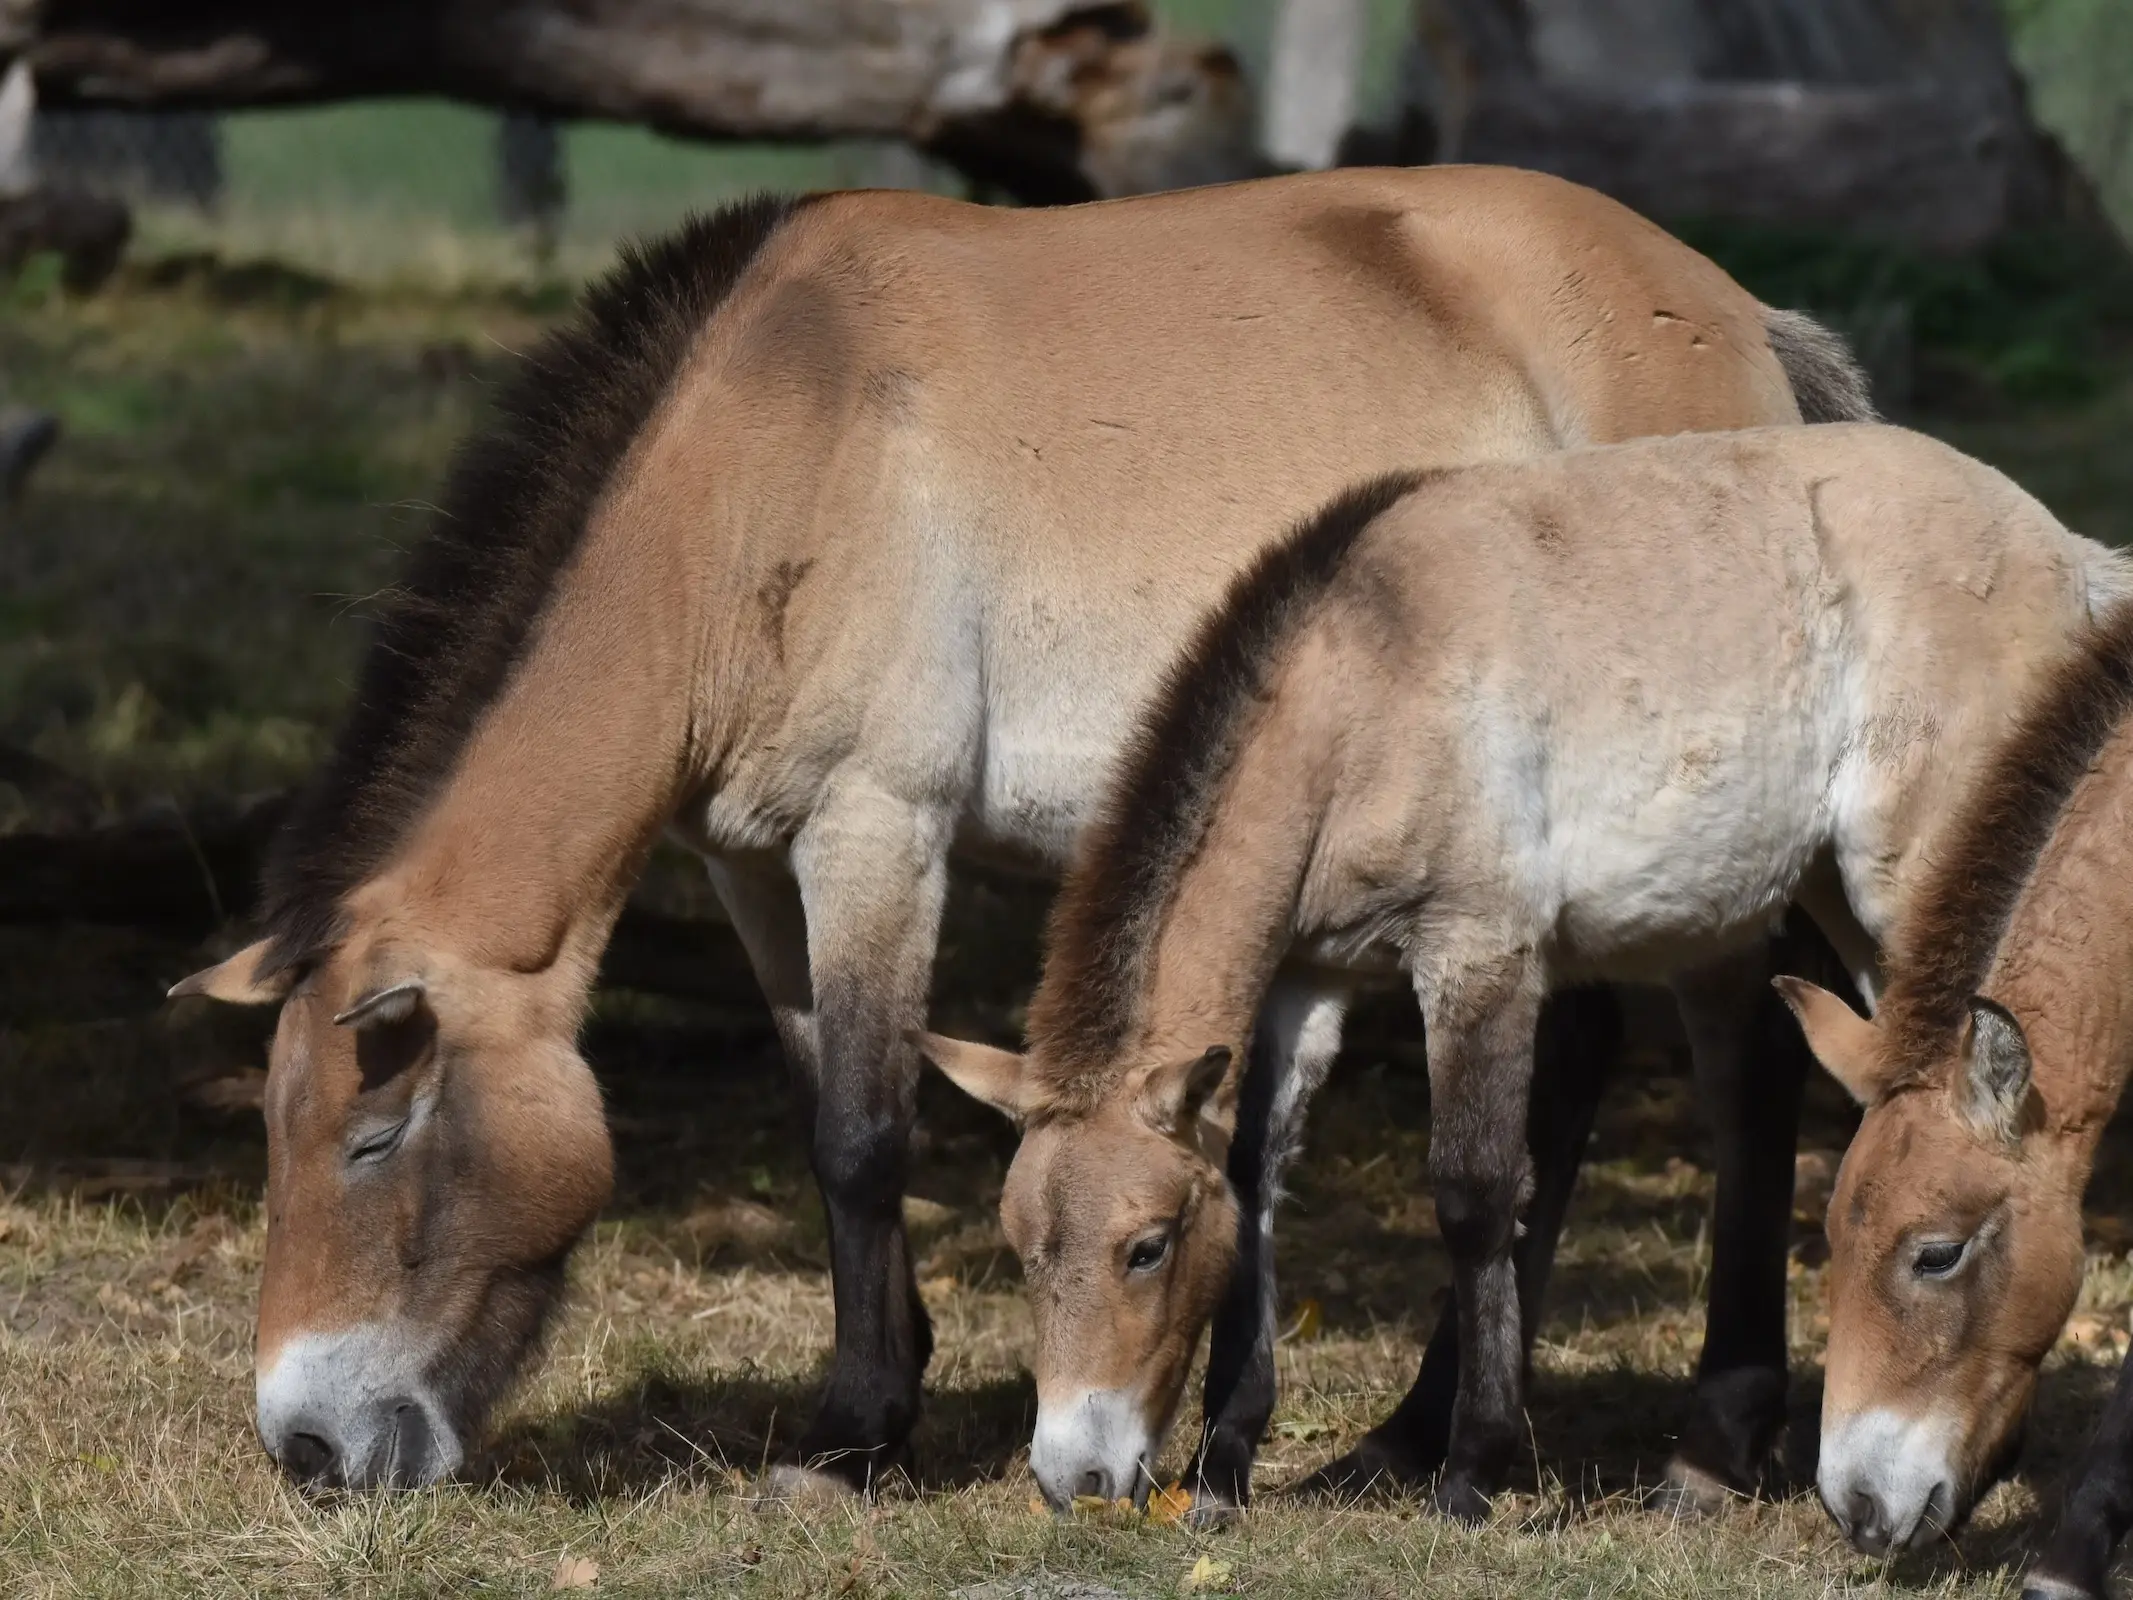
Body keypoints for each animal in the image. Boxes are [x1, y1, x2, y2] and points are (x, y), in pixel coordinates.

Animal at [170, 172, 1868, 1501]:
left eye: (374, 1136)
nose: (305, 1448)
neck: (772, 458)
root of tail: (1734, 319)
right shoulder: (750, 863)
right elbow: (818, 1105)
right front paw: (891, 1387)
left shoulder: (877, 831)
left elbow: (866, 1133)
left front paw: (850, 1437)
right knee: (1570, 1078)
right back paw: (1410, 1435)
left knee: (1742, 1075)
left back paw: (1709, 1440)